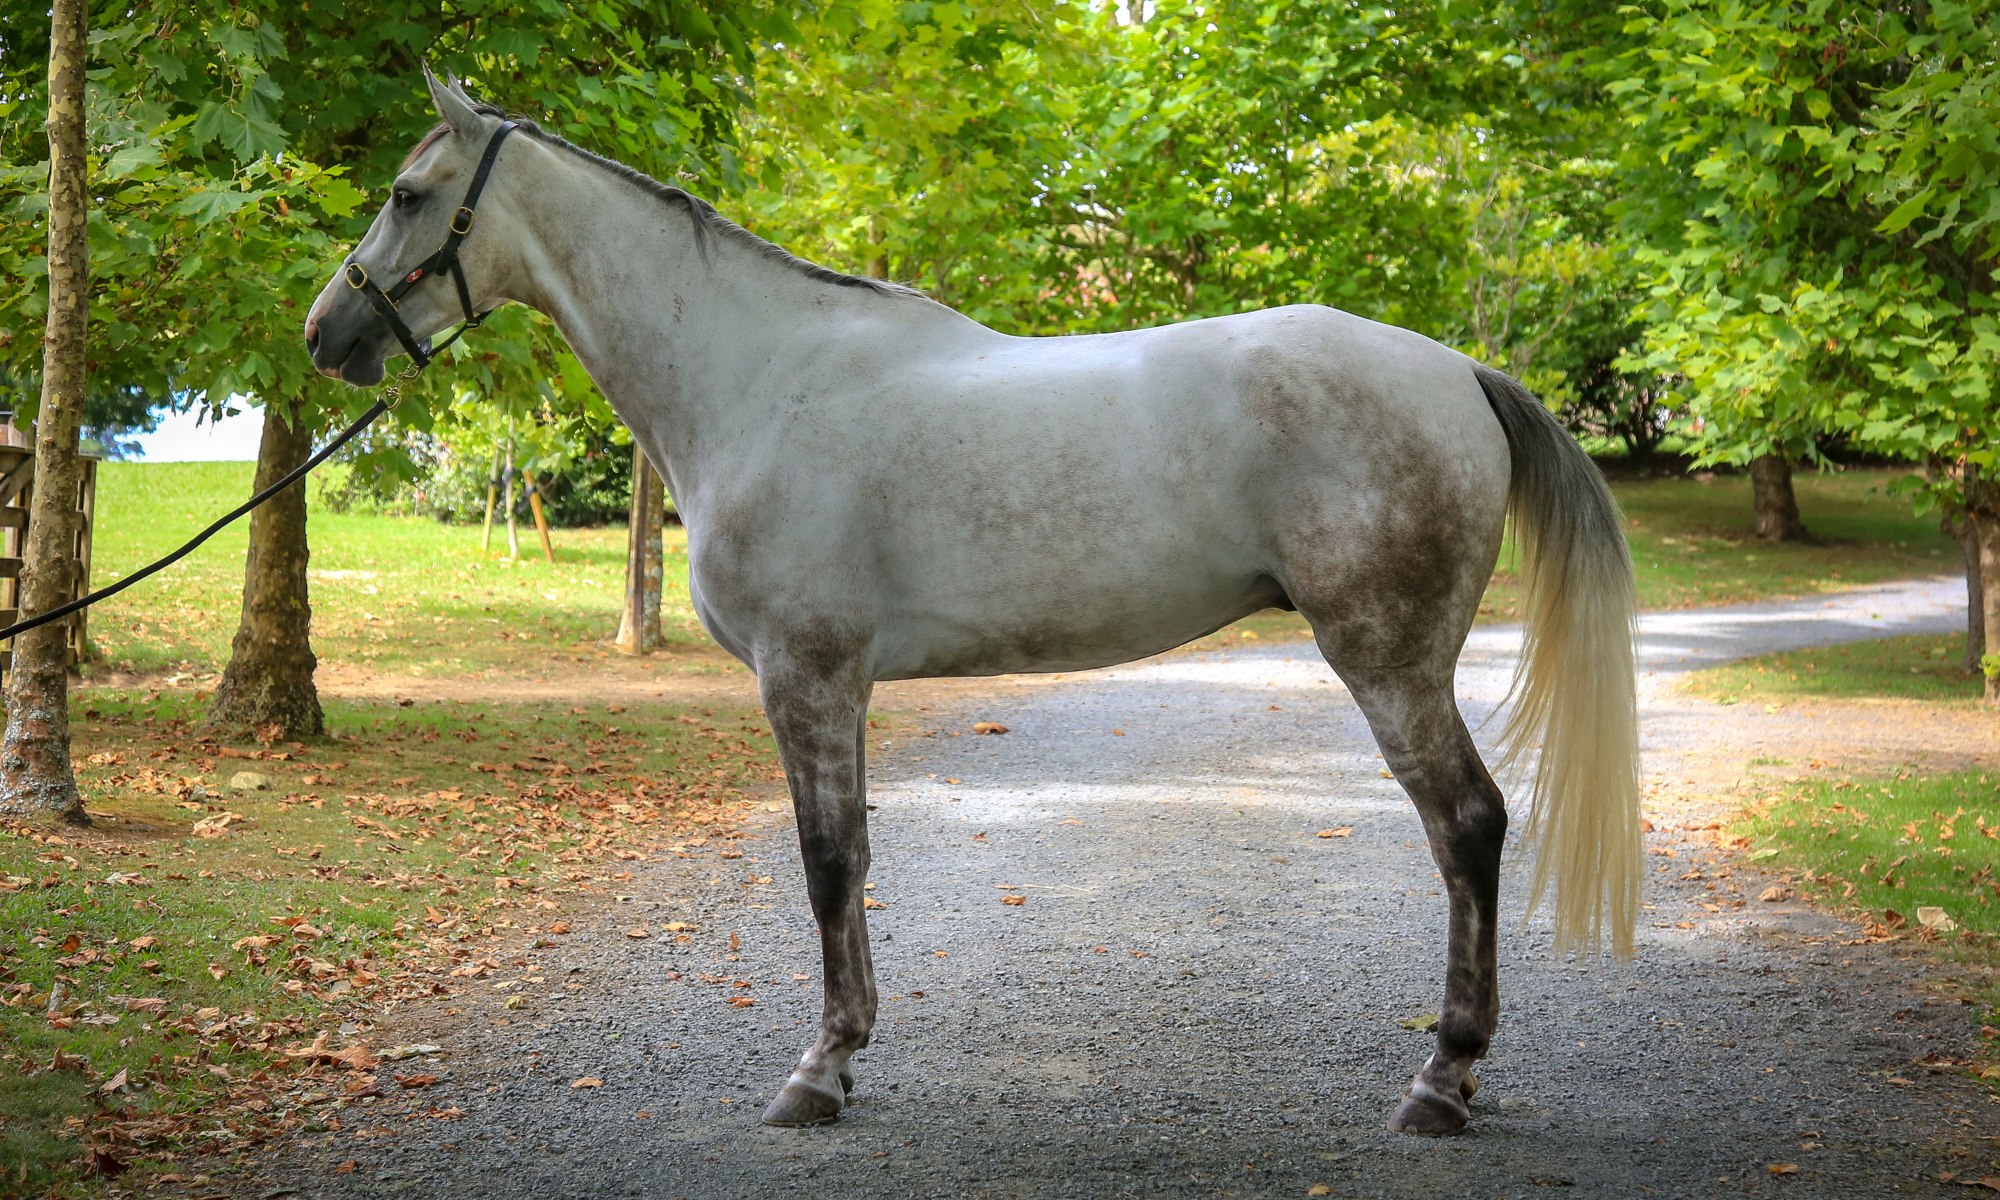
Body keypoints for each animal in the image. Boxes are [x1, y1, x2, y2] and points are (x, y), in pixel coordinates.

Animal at [305, 68, 1641, 1137]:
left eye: (408, 194)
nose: (327, 333)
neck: (758, 379)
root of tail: (1455, 368)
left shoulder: (806, 671)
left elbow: (826, 862)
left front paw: (818, 1072)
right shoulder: (831, 681)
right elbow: (847, 858)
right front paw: (844, 1054)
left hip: (1385, 658)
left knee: (1466, 827)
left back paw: (1439, 1082)